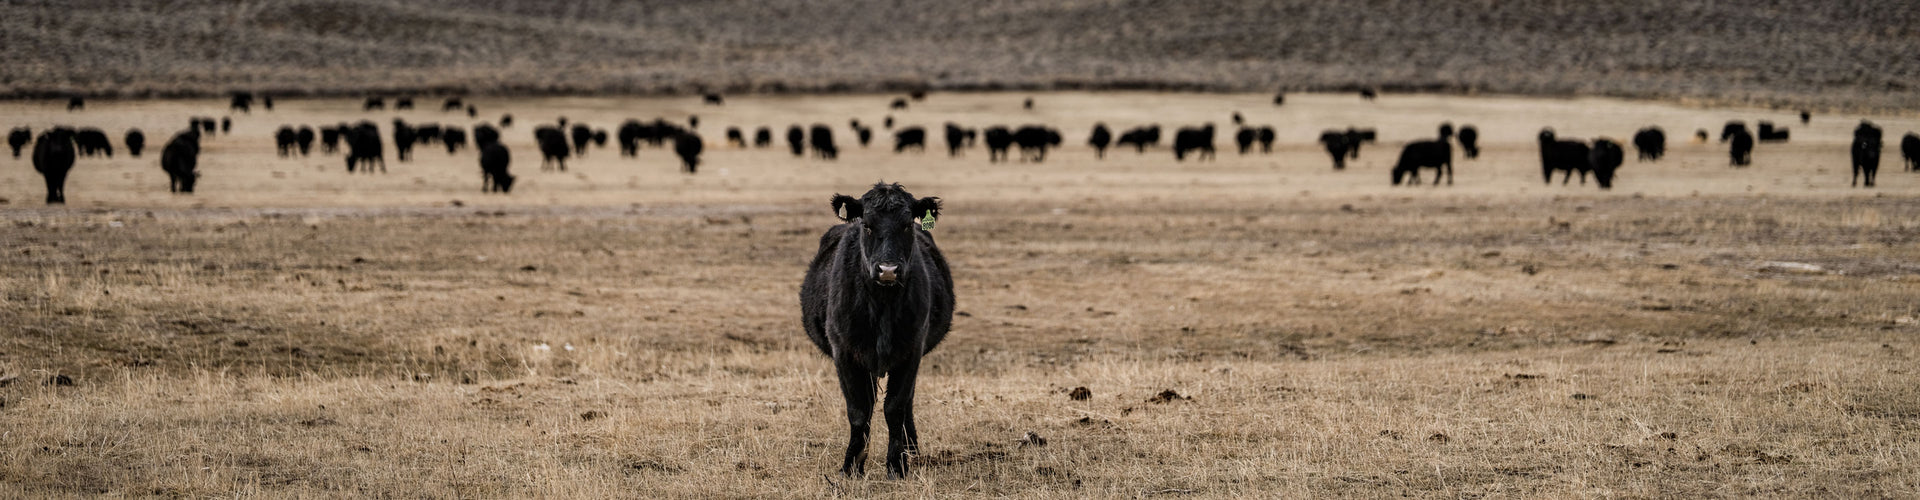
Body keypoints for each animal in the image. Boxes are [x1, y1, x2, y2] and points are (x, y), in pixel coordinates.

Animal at [800, 182, 953, 480]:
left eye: (906, 224)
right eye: (867, 225)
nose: (888, 269)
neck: (882, 305)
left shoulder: (911, 350)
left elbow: (895, 406)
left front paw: (897, 465)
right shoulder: (844, 352)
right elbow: (859, 409)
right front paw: (851, 466)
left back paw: (912, 448)